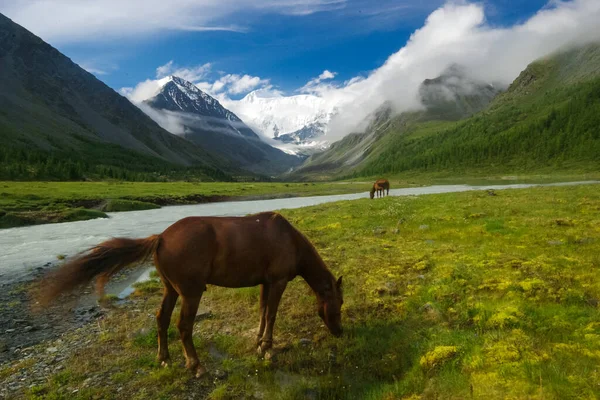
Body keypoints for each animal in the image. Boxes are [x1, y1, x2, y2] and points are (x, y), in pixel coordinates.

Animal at [36, 212, 342, 378]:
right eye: (339, 302)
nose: (339, 332)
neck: (288, 239)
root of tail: (161, 237)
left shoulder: (266, 284)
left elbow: (263, 312)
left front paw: (259, 344)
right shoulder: (277, 283)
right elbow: (272, 315)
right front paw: (267, 348)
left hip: (170, 290)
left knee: (161, 319)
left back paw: (164, 358)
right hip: (191, 294)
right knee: (183, 327)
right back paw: (195, 366)